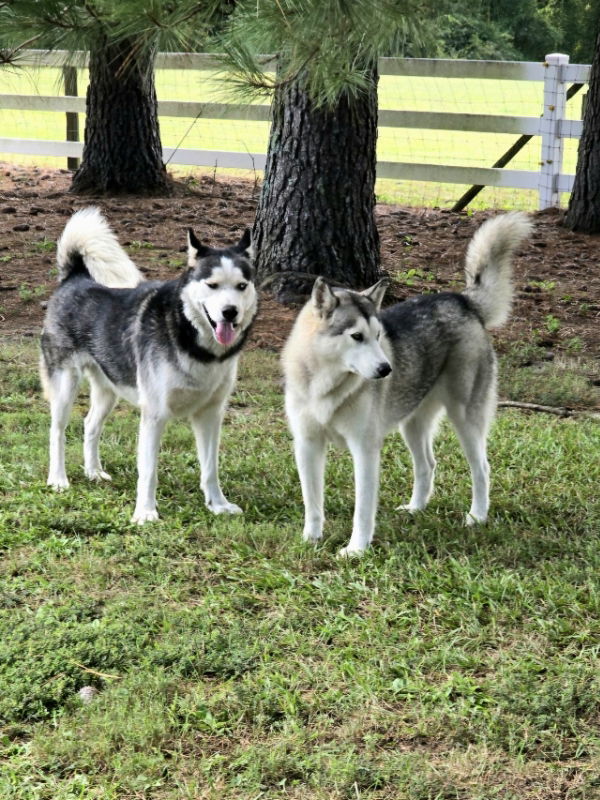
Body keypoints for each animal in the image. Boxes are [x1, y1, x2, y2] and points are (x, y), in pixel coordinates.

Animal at [39, 206, 255, 520]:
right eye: (212, 285)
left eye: (241, 286)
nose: (230, 312)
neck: (189, 335)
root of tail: (76, 277)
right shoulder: (154, 414)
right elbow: (148, 470)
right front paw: (145, 513)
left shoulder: (210, 414)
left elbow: (210, 468)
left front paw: (218, 505)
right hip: (65, 384)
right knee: (57, 430)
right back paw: (58, 479)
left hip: (108, 388)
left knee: (90, 424)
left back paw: (93, 472)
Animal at [284, 212, 532, 556]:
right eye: (356, 336)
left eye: (378, 336)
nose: (387, 369)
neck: (325, 384)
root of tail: (461, 300)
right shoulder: (307, 445)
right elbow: (312, 502)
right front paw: (311, 539)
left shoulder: (365, 449)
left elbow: (363, 509)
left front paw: (356, 549)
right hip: (412, 423)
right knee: (427, 464)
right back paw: (416, 508)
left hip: (465, 419)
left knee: (481, 468)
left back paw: (477, 516)